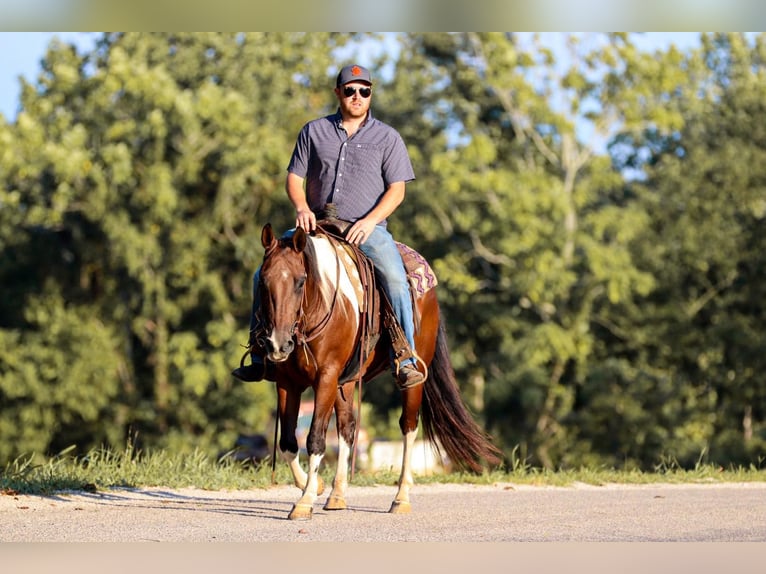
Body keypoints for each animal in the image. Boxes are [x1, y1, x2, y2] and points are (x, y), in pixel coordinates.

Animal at [256, 223, 504, 520]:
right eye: (263, 281)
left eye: (300, 281)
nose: (278, 344)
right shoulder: (287, 382)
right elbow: (287, 442)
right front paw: (316, 487)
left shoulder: (326, 377)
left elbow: (315, 438)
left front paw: (305, 500)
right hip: (346, 382)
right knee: (347, 428)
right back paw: (337, 495)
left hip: (412, 379)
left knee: (408, 426)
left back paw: (401, 497)